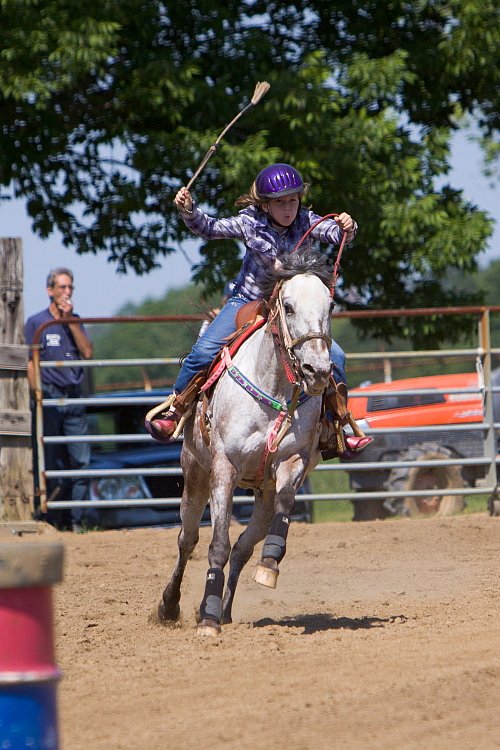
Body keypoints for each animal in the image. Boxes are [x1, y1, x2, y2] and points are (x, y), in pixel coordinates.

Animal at [158, 250, 334, 636]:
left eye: (330, 306)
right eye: (288, 307)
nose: (317, 370)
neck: (274, 388)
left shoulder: (292, 462)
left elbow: (283, 510)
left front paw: (270, 564)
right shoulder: (224, 468)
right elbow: (217, 546)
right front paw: (208, 620)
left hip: (261, 495)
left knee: (242, 548)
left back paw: (225, 608)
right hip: (195, 472)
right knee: (187, 539)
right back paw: (171, 607)